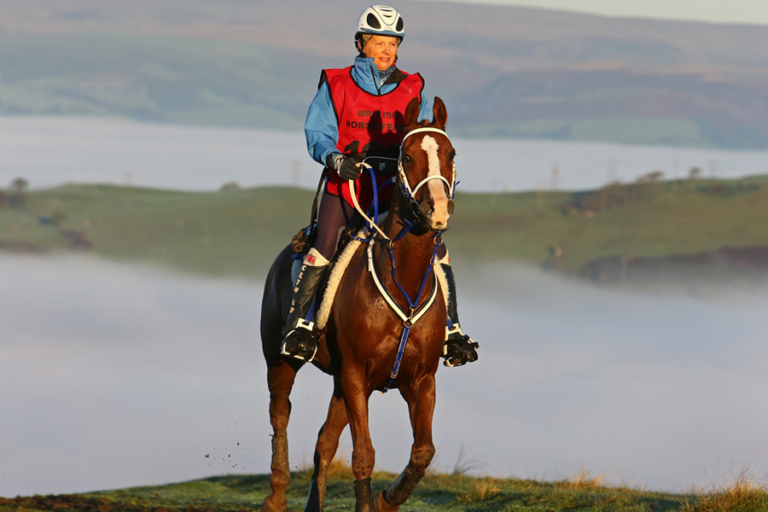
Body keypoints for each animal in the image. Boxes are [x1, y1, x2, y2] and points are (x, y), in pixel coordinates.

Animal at [260, 96, 457, 512]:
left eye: (450, 153)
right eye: (408, 156)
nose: (437, 210)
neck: (403, 284)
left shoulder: (420, 380)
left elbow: (423, 452)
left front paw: (386, 500)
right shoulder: (355, 374)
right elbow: (363, 455)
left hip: (340, 382)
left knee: (324, 441)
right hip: (282, 361)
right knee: (280, 413)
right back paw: (277, 494)